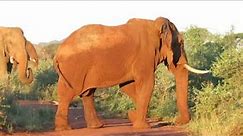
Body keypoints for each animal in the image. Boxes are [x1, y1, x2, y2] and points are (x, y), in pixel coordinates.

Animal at [53, 17, 209, 131]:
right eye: (181, 43)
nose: (177, 121)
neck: (154, 25)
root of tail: (57, 53)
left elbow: (127, 87)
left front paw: (133, 116)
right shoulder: (145, 54)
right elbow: (147, 84)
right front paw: (143, 127)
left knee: (87, 94)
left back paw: (97, 126)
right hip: (74, 67)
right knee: (67, 94)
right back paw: (65, 129)